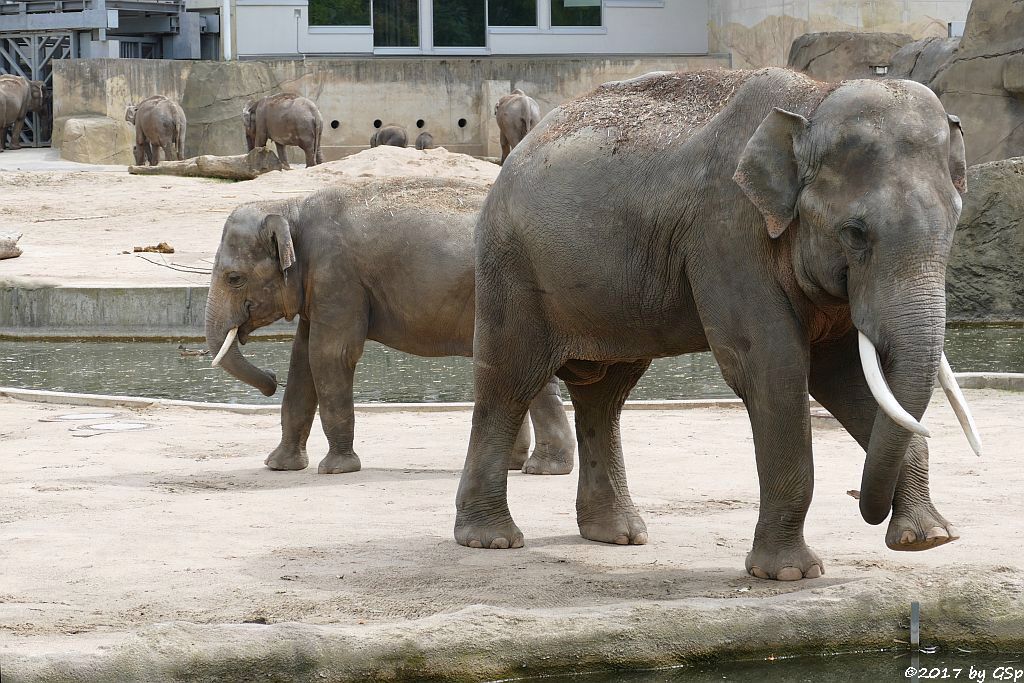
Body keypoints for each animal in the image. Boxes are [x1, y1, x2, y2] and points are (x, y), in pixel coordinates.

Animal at [207, 180, 577, 475]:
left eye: (234, 278)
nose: (270, 381)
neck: (290, 207)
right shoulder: (320, 289)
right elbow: (302, 361)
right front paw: (279, 465)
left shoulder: (338, 276)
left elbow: (331, 355)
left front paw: (336, 469)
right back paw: (515, 465)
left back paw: (544, 469)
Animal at [458, 68, 983, 581]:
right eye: (855, 233)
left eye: (955, 224)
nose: (864, 507)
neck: (814, 97)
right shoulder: (727, 233)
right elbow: (773, 368)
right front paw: (789, 573)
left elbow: (845, 378)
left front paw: (927, 539)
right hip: (510, 267)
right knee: (509, 383)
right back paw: (491, 539)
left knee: (605, 395)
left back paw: (617, 535)